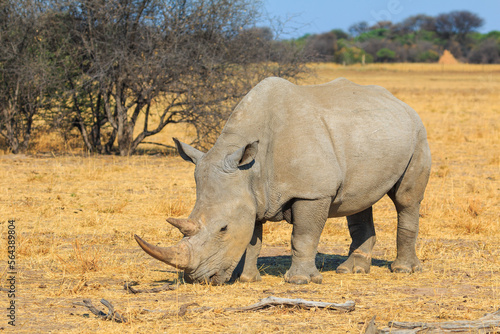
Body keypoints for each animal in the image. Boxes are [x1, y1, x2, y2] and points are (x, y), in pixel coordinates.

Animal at [135, 77, 432, 284]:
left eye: (223, 229)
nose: (198, 279)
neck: (250, 170)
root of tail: (400, 102)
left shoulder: (312, 192)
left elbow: (303, 236)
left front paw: (300, 281)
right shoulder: (251, 194)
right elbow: (252, 239)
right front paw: (247, 279)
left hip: (418, 132)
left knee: (406, 199)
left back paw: (403, 270)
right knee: (358, 202)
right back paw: (351, 271)